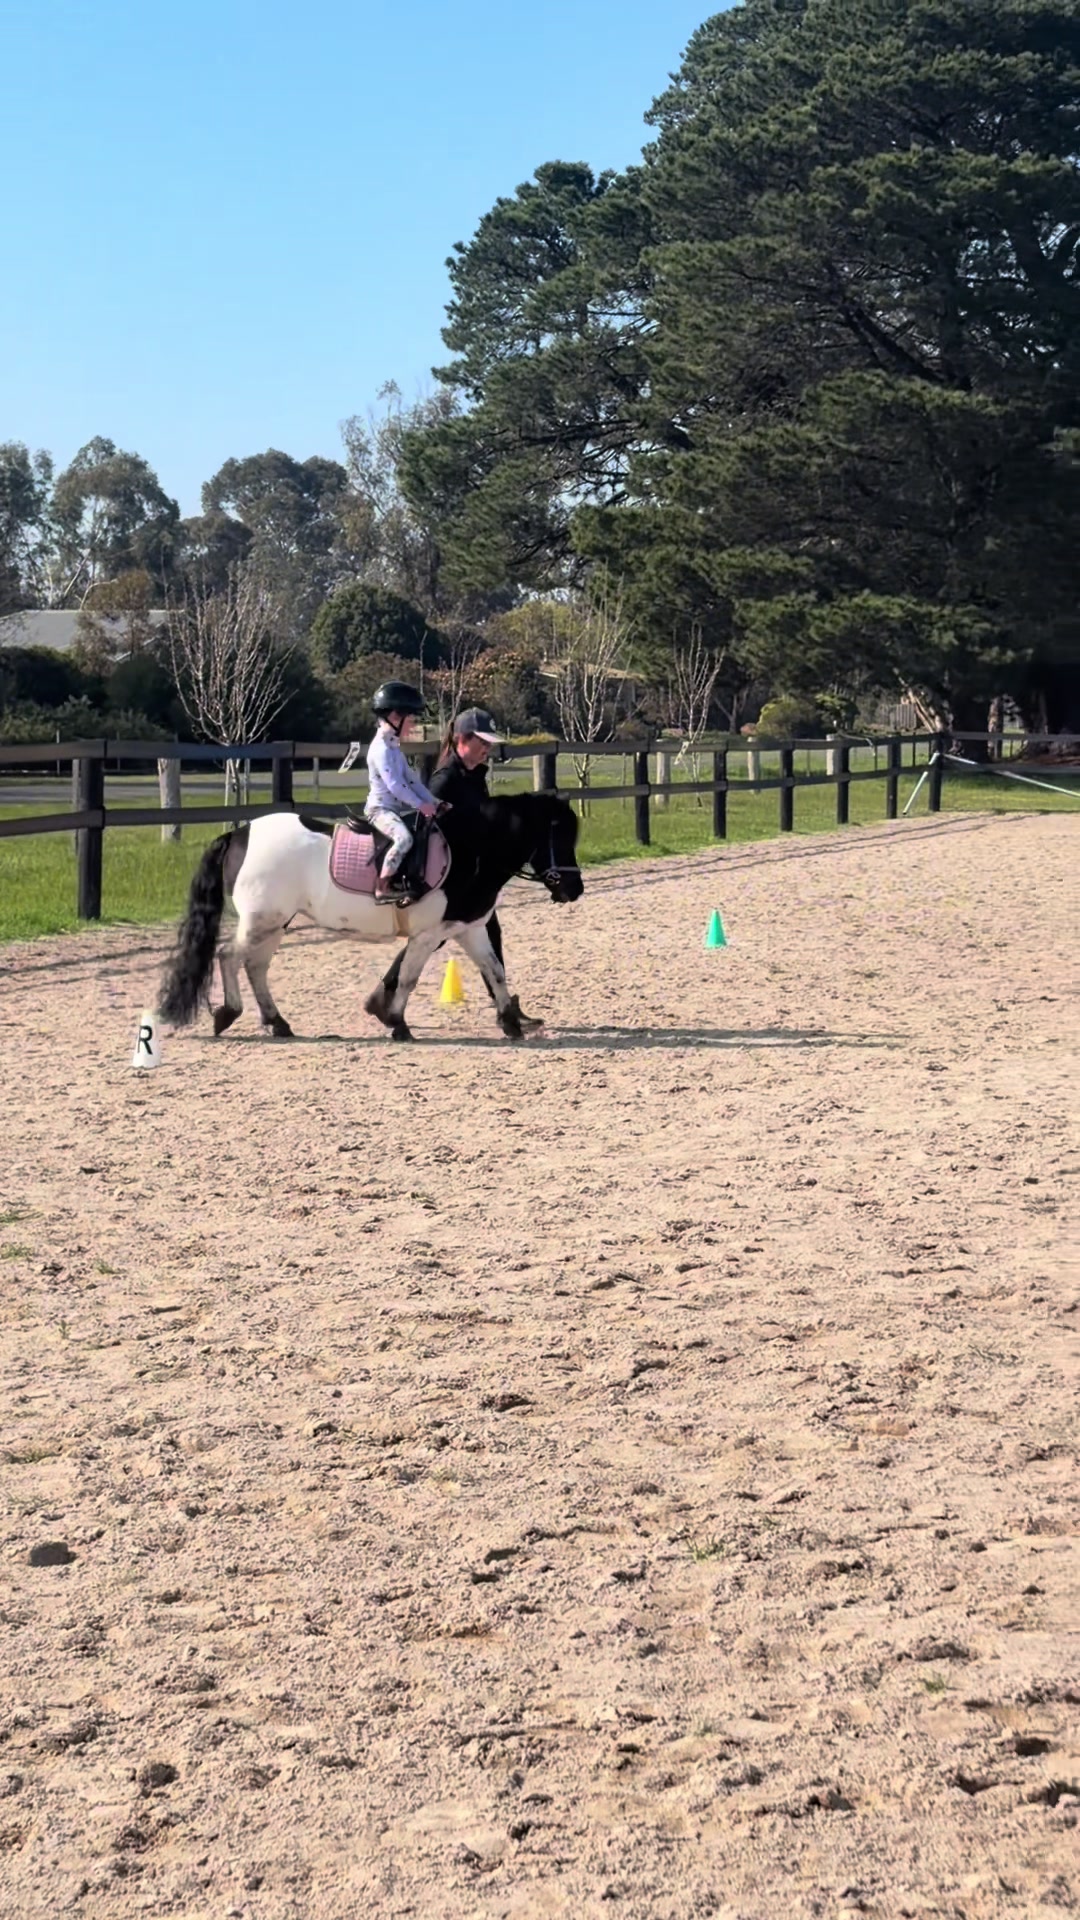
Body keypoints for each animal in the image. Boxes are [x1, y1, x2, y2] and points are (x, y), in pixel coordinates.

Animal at [157, 791, 583, 1043]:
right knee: (230, 956)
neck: (470, 850)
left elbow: (495, 971)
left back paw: (278, 1023)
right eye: (559, 835)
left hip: (276, 922)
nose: (574, 889)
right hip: (263, 921)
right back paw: (228, 1015)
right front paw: (397, 1024)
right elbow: (409, 977)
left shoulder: (469, 929)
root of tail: (240, 833)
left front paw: (511, 1022)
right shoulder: (429, 934)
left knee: (255, 967)